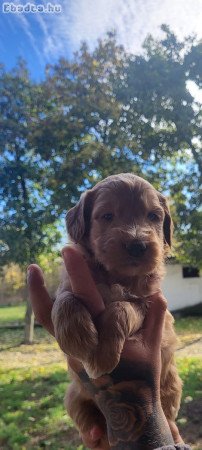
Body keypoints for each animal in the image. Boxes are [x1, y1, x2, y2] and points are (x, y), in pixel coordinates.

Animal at [51, 174, 182, 444]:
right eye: (107, 215)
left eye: (153, 216)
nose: (137, 245)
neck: (117, 276)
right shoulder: (70, 280)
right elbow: (65, 298)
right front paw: (76, 337)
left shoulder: (147, 303)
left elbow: (121, 308)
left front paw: (103, 355)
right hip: (73, 395)